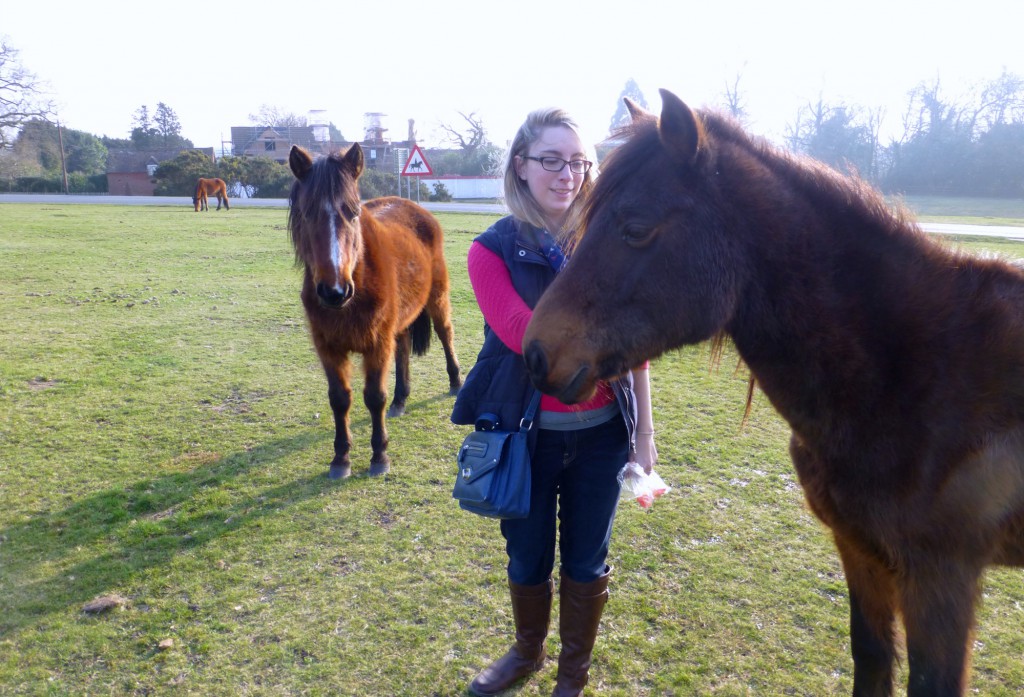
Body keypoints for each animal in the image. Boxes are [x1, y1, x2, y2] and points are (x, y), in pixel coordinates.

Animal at [288, 141, 464, 478]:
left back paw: (455, 383)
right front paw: (340, 457)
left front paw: (380, 454)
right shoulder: (328, 347)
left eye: (353, 212)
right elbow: (339, 399)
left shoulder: (377, 344)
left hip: (437, 299)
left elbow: (374, 397)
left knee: (446, 334)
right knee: (404, 346)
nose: (334, 291)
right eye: (307, 212)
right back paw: (401, 399)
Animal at [524, 89, 1024, 691]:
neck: (912, 373)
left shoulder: (941, 580)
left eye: (636, 227)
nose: (535, 353)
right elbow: (871, 656)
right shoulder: (861, 551)